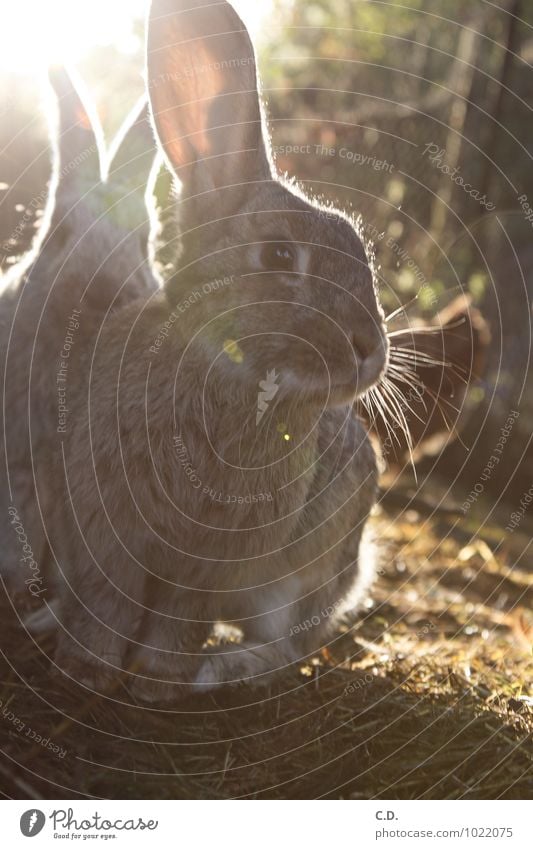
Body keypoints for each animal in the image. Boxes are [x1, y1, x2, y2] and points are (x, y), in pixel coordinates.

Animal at [42, 0, 386, 704]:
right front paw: (88, 668)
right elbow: (105, 602)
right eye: (279, 255)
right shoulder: (103, 534)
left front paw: (156, 681)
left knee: (288, 646)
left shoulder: (212, 568)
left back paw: (217, 671)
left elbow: (181, 621)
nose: (372, 351)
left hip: (299, 572)